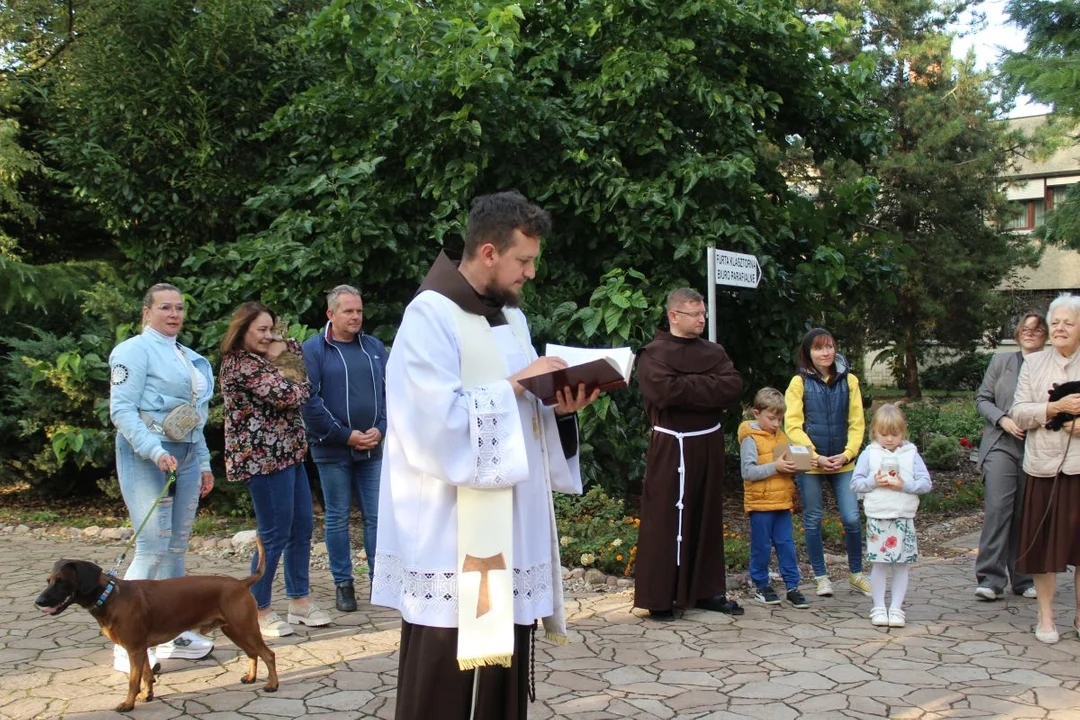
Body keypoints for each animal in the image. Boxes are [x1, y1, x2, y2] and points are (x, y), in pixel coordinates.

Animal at [35, 537, 276, 712]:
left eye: (61, 582)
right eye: (48, 581)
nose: (38, 602)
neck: (110, 596)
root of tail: (241, 583)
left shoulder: (134, 649)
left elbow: (133, 680)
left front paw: (128, 703)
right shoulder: (140, 649)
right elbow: (146, 675)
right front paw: (147, 695)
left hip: (244, 628)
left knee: (268, 654)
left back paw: (272, 685)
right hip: (234, 630)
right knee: (253, 654)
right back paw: (251, 677)